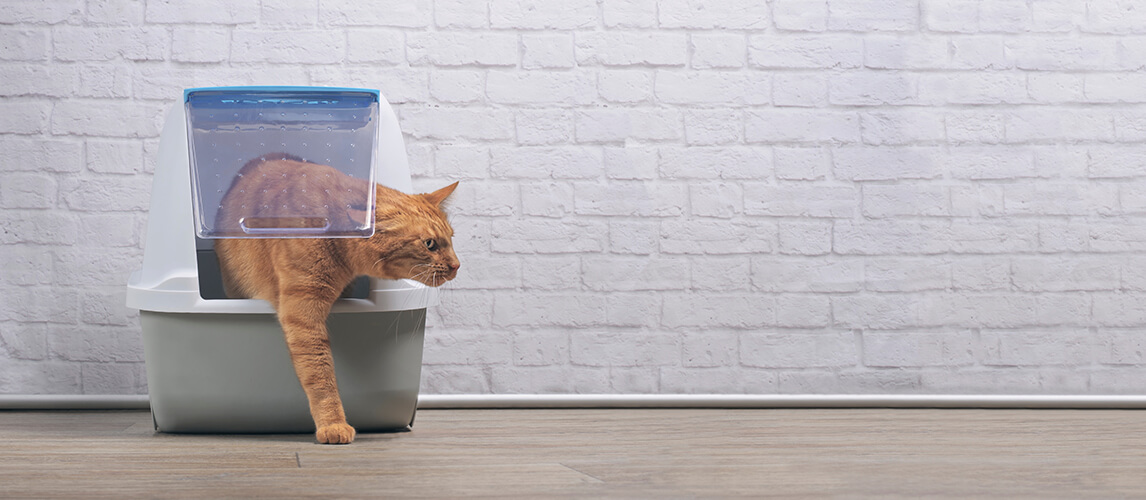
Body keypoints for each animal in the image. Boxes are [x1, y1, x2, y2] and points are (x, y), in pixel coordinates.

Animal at [215, 154, 460, 442]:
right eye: (429, 244)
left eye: (451, 239)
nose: (457, 265)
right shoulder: (302, 315)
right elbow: (320, 372)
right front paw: (333, 423)